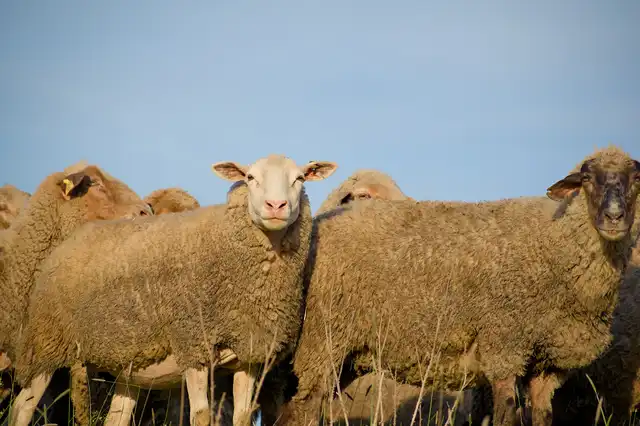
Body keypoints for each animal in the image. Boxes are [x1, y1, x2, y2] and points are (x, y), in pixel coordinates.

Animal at [11, 155, 340, 426]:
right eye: (250, 177)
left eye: (299, 178)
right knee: (22, 407)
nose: (276, 206)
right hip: (45, 344)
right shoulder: (193, 343)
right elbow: (201, 416)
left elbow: (243, 417)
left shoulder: (250, 353)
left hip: (128, 363)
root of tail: (70, 241)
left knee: (116, 418)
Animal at [278, 146, 640, 426]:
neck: (555, 245)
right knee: (301, 411)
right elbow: (506, 416)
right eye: (587, 179)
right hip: (323, 341)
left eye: (636, 179)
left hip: (346, 357)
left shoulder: (548, 366)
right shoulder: (504, 347)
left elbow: (542, 416)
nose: (614, 217)